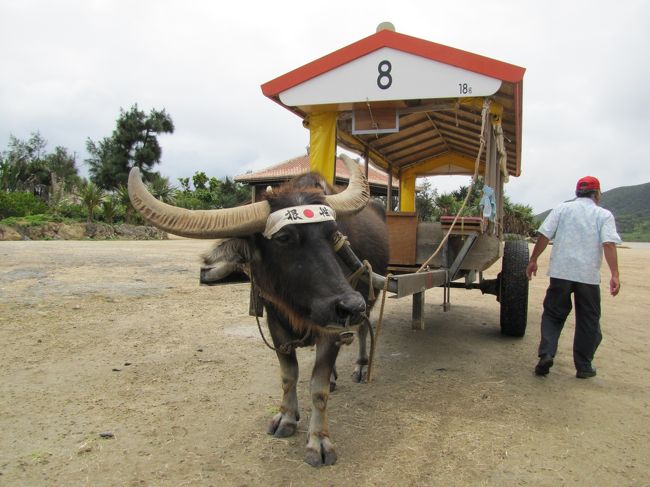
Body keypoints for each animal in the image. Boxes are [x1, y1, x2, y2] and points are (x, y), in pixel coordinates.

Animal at [129, 155, 388, 466]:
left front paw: (318, 441)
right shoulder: (276, 321)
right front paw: (286, 418)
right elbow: (289, 375)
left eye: (334, 233)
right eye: (284, 238)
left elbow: (318, 387)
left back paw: (361, 366)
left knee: (362, 330)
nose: (350, 305)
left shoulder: (333, 324)